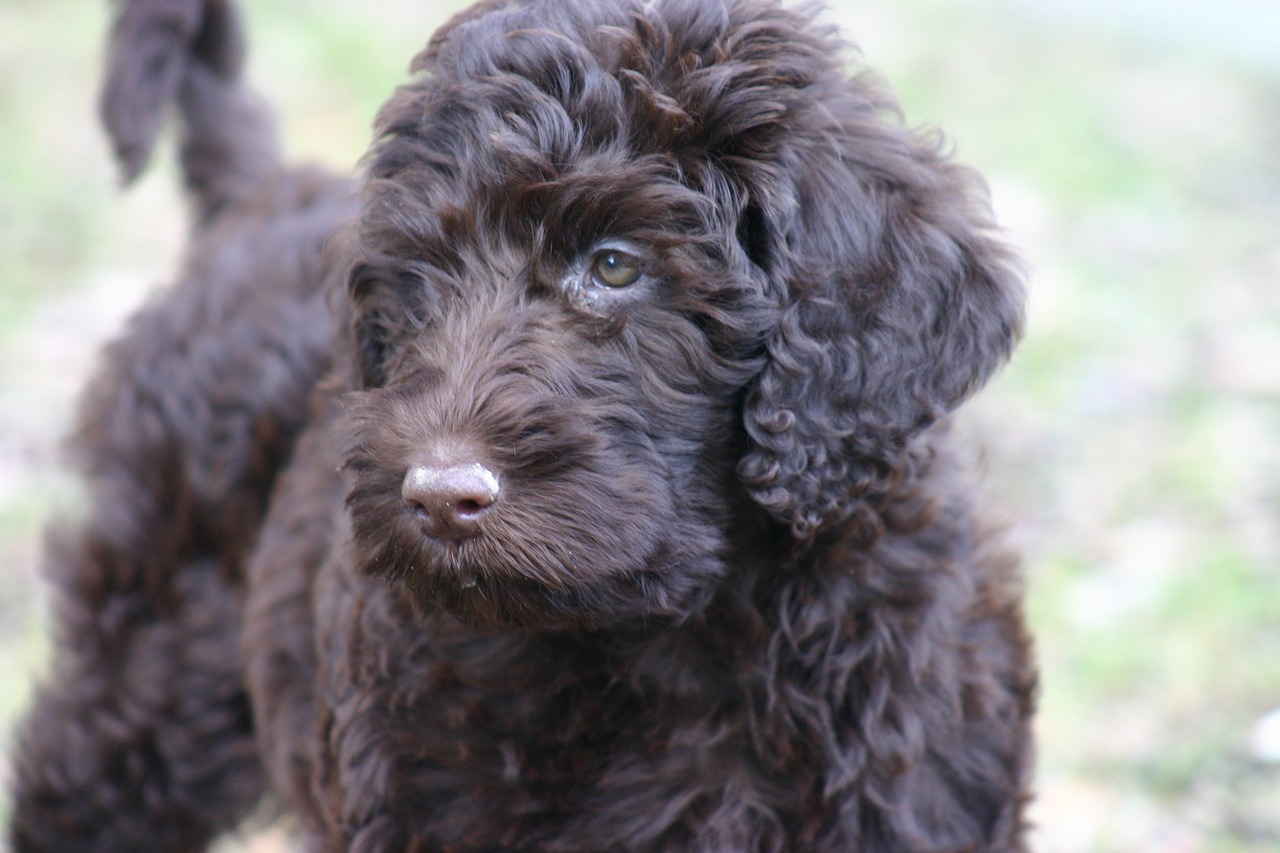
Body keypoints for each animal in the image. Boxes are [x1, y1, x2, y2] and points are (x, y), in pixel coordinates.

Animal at [10, 0, 1034, 845]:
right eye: (418, 282)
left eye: (615, 265)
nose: (437, 497)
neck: (674, 632)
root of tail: (258, 193)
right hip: (149, 660)